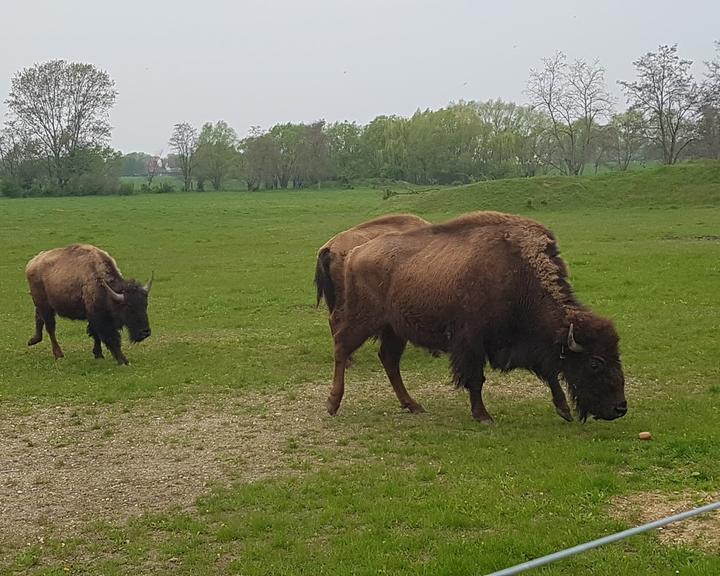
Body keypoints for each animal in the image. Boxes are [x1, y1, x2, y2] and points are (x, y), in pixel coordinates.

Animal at [324, 212, 628, 424]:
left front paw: (563, 410)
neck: (517, 275)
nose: (620, 408)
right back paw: (332, 404)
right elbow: (476, 379)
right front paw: (482, 416)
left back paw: (413, 405)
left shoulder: (525, 345)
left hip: (394, 329)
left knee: (388, 360)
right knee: (341, 346)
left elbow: (550, 372)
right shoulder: (472, 342)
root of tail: (355, 253)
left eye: (616, 356)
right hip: (364, 320)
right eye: (595, 363)